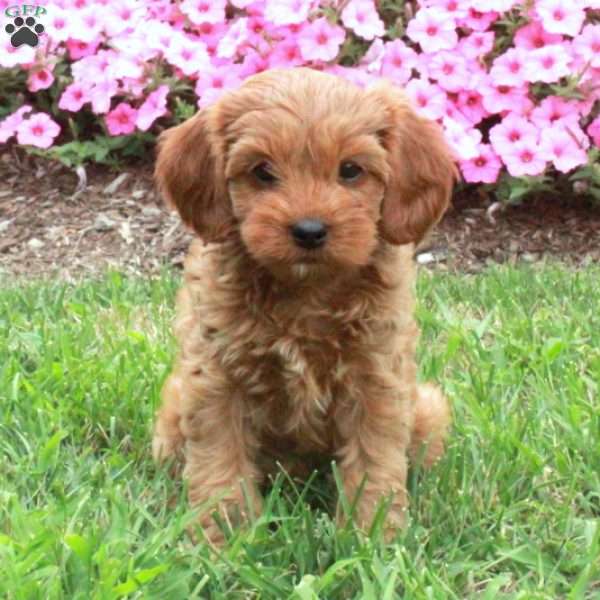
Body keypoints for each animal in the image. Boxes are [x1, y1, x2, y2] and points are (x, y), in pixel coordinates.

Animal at [152, 67, 458, 544]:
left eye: (350, 170)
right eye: (262, 171)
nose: (309, 231)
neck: (305, 294)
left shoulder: (376, 380)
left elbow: (374, 462)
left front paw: (372, 538)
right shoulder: (216, 379)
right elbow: (220, 462)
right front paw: (224, 537)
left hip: (425, 407)